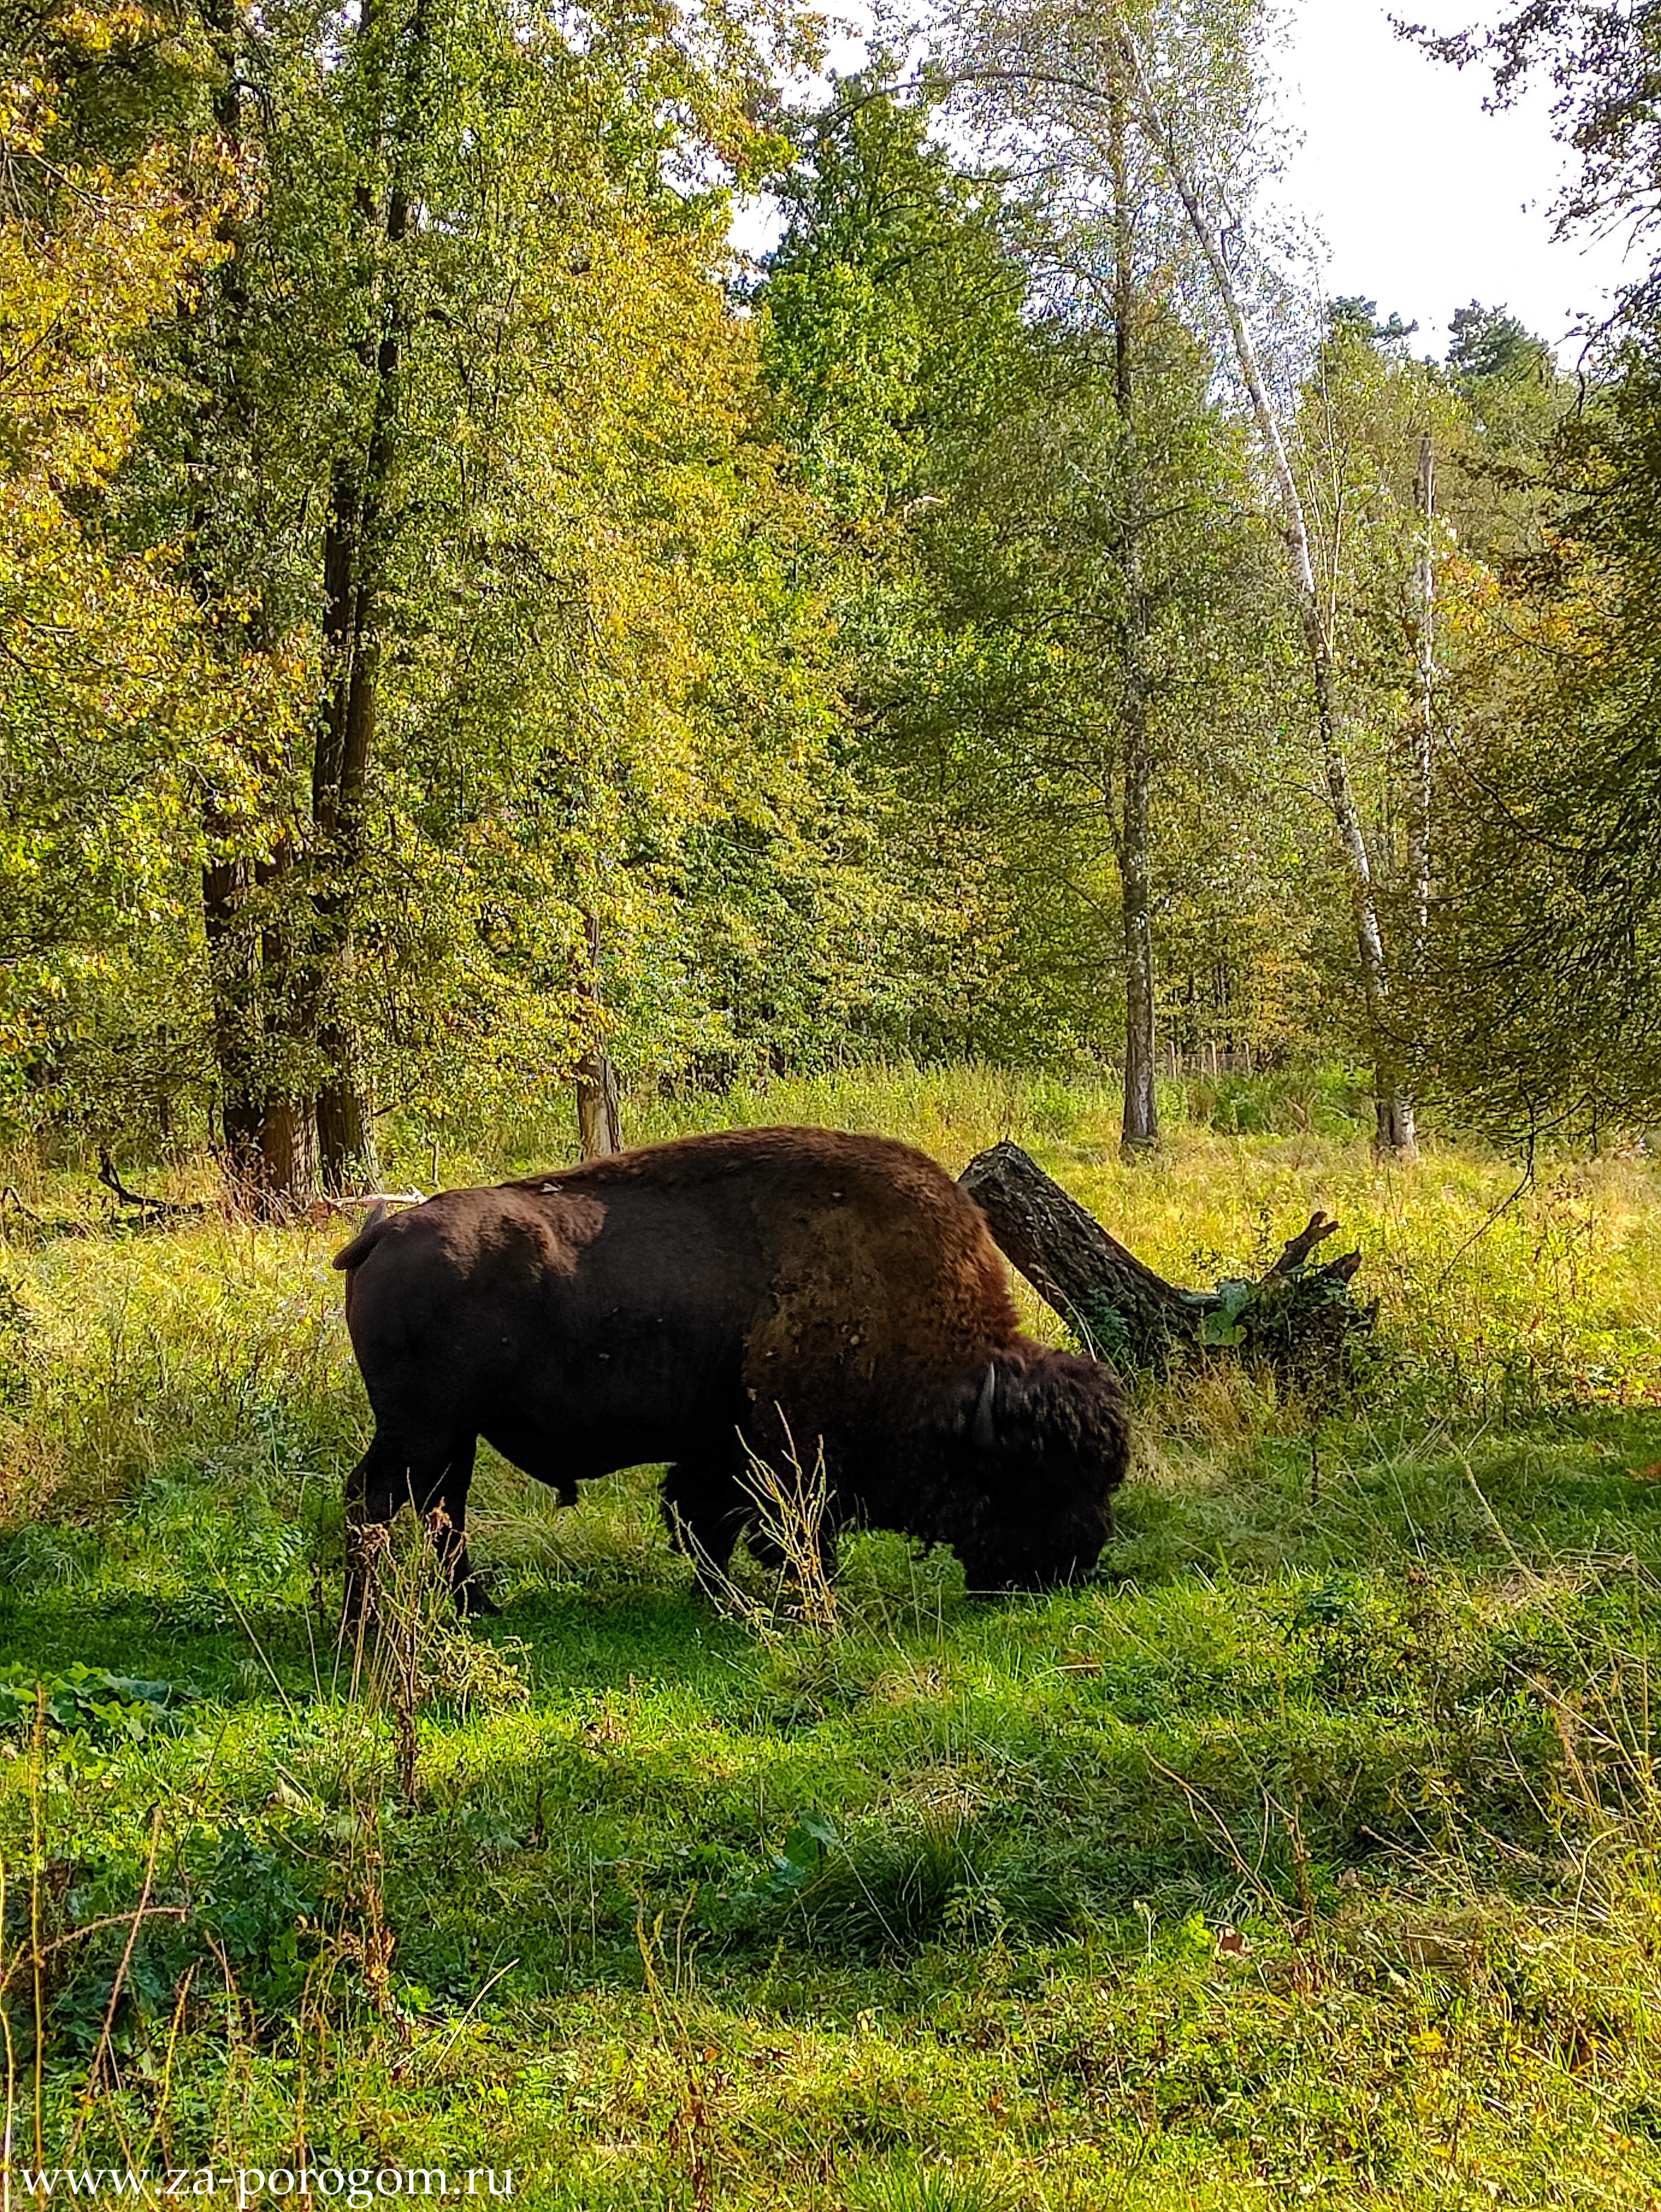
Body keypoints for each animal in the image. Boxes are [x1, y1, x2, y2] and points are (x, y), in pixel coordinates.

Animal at [332, 1132, 1132, 1619]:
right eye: (1035, 1478)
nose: (1074, 1562)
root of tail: (382, 1232)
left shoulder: (718, 1451)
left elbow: (702, 1522)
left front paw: (719, 1599)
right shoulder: (789, 1455)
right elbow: (782, 1534)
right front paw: (800, 1599)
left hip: (453, 1434)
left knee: (441, 1511)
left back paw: (476, 1608)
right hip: (421, 1428)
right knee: (380, 1499)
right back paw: (364, 1621)